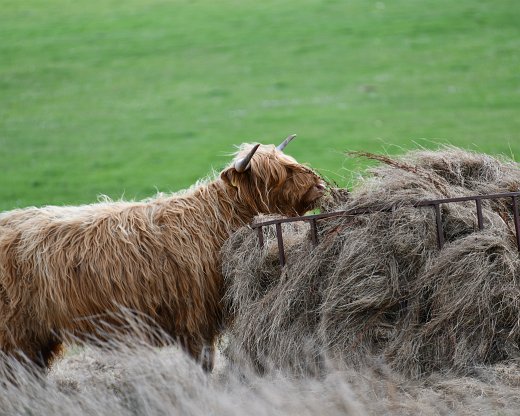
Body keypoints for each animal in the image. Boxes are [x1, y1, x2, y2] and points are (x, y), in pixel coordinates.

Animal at [0, 136, 324, 370]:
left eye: (291, 162)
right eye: (278, 174)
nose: (319, 185)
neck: (214, 221)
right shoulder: (194, 319)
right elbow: (203, 365)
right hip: (14, 336)